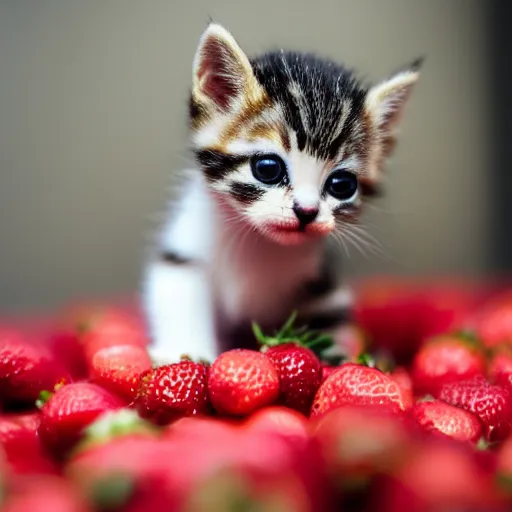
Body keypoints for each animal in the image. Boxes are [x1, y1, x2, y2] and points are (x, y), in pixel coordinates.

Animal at [143, 23, 420, 364]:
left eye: (342, 185)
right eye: (267, 168)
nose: (306, 211)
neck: (259, 245)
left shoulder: (322, 283)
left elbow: (328, 323)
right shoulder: (184, 249)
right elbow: (177, 287)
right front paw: (186, 351)